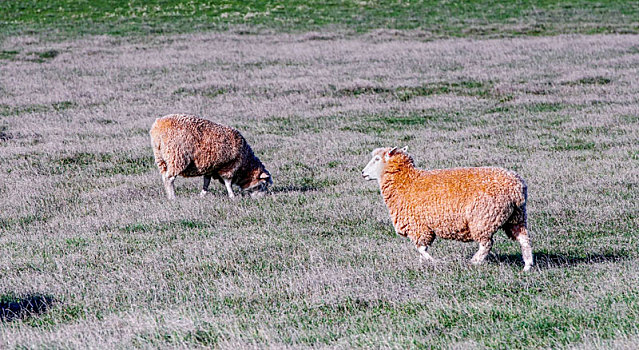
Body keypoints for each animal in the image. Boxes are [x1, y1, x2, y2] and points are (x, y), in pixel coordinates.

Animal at [360, 146, 536, 272]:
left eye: (377, 159)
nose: (363, 173)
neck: (406, 181)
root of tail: (516, 187)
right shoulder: (423, 226)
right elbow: (422, 248)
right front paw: (423, 263)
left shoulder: (419, 226)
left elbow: (420, 248)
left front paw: (432, 261)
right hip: (516, 217)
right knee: (524, 239)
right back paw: (527, 266)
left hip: (484, 218)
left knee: (487, 244)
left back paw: (474, 262)